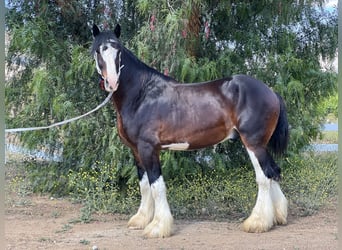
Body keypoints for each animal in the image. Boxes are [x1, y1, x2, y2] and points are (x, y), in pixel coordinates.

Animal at [91, 24, 288, 237]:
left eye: (118, 50)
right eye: (98, 50)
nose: (112, 82)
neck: (142, 95)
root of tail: (270, 91)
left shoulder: (148, 148)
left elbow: (156, 186)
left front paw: (158, 226)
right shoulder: (136, 150)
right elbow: (144, 186)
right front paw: (141, 220)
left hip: (253, 143)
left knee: (264, 177)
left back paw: (257, 222)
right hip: (261, 144)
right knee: (274, 172)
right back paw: (277, 216)